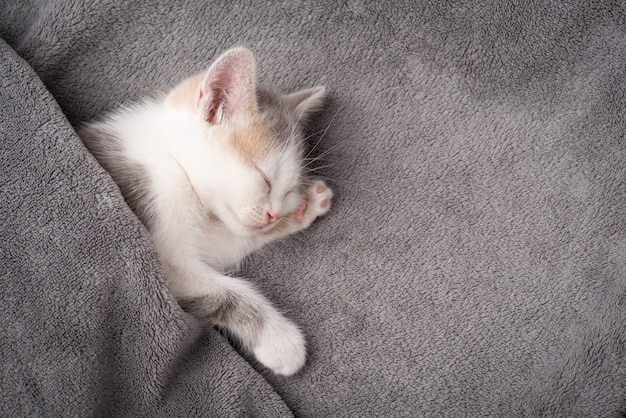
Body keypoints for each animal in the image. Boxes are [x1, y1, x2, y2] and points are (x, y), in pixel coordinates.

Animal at [79, 46, 332, 376]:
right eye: (264, 179)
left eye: (288, 190)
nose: (274, 215)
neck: (171, 158)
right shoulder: (165, 257)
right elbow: (222, 291)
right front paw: (280, 341)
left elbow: (225, 243)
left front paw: (305, 206)